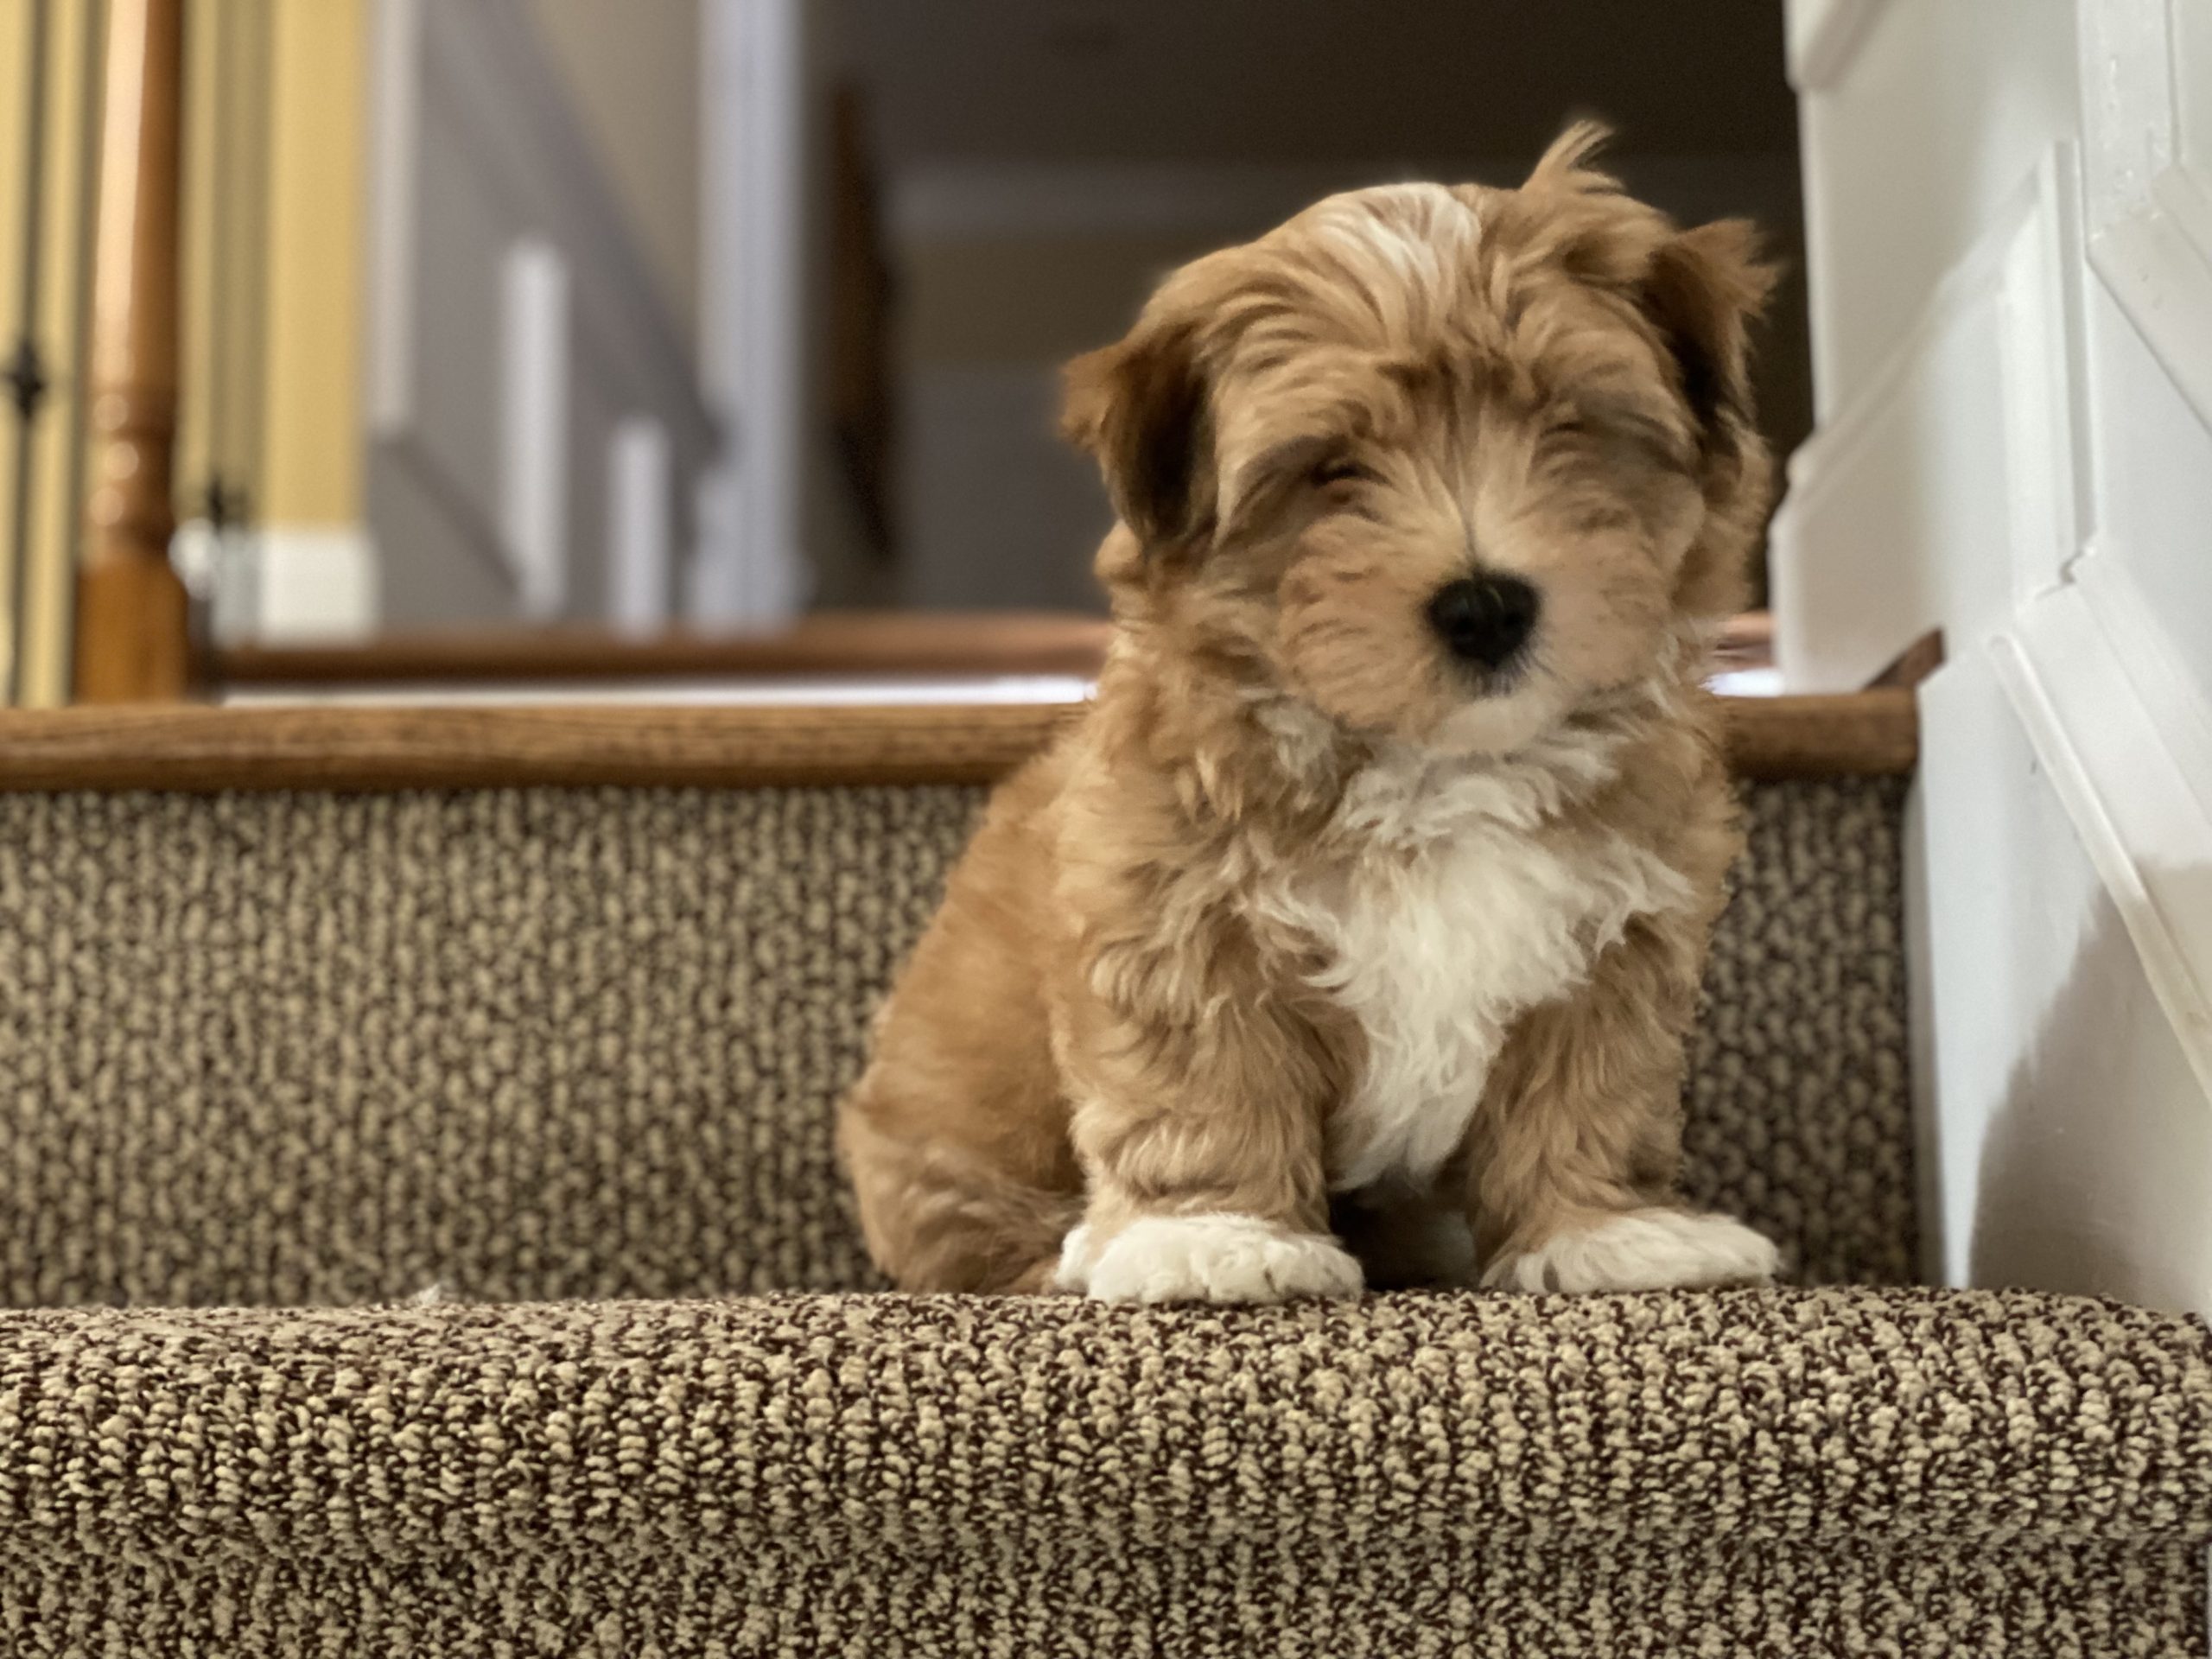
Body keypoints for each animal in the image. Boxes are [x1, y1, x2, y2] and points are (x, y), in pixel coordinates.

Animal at [836, 123, 1787, 1309]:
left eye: (1565, 426)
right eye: (1333, 470)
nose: (1485, 605)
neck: (1434, 760)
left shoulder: (1621, 928)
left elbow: (1594, 1080)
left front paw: (1605, 1232)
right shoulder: (1172, 906)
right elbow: (1201, 1075)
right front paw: (1213, 1237)